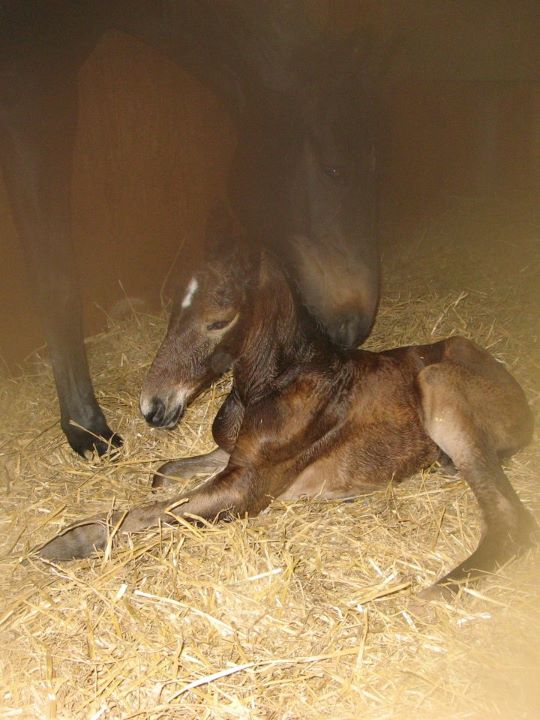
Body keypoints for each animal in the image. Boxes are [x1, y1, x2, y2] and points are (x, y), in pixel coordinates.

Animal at [38, 223, 537, 599]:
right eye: (170, 311)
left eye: (218, 320)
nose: (154, 407)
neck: (273, 382)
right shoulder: (234, 456)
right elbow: (163, 475)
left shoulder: (246, 488)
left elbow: (150, 511)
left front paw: (65, 543)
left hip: (436, 381)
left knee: (511, 520)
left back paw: (436, 592)